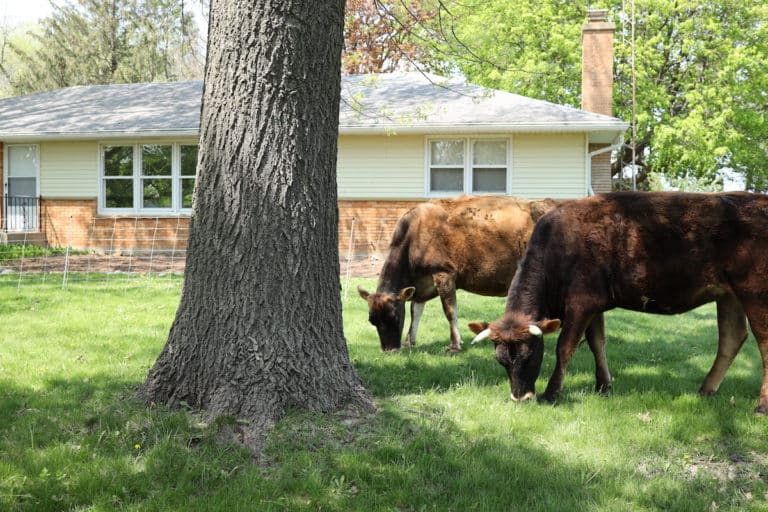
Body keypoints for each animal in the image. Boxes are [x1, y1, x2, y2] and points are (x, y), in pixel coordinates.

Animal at [358, 194, 556, 352]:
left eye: (395, 316)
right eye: (372, 320)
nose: (389, 350)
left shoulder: (443, 272)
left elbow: (450, 311)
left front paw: (455, 345)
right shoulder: (421, 285)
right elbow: (416, 311)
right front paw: (409, 342)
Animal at [469, 191, 768, 414]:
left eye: (531, 354)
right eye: (500, 361)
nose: (520, 397)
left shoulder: (581, 301)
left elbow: (565, 346)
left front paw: (551, 393)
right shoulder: (594, 303)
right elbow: (597, 343)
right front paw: (603, 386)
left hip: (754, 291)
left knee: (762, 343)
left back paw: (761, 406)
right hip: (728, 294)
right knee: (732, 337)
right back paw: (706, 390)